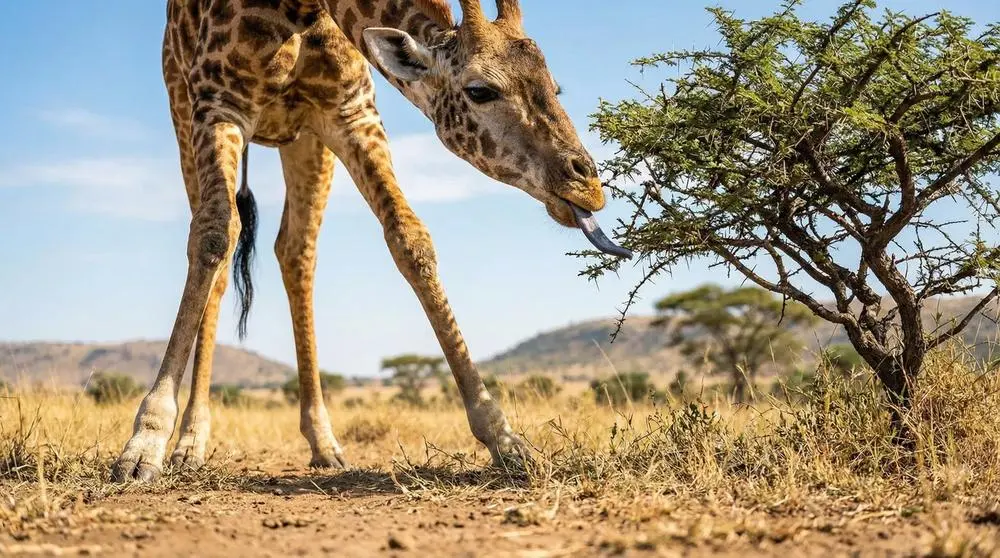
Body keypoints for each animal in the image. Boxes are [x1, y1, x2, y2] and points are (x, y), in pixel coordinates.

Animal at [111, 0, 631, 483]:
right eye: (480, 90)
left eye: (554, 87)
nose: (588, 186)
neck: (307, 10)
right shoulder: (219, 103)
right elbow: (214, 234)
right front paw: (143, 445)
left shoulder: (350, 111)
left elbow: (410, 238)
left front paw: (506, 441)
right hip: (182, 107)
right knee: (220, 249)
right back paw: (191, 442)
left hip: (305, 140)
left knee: (295, 250)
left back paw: (323, 442)